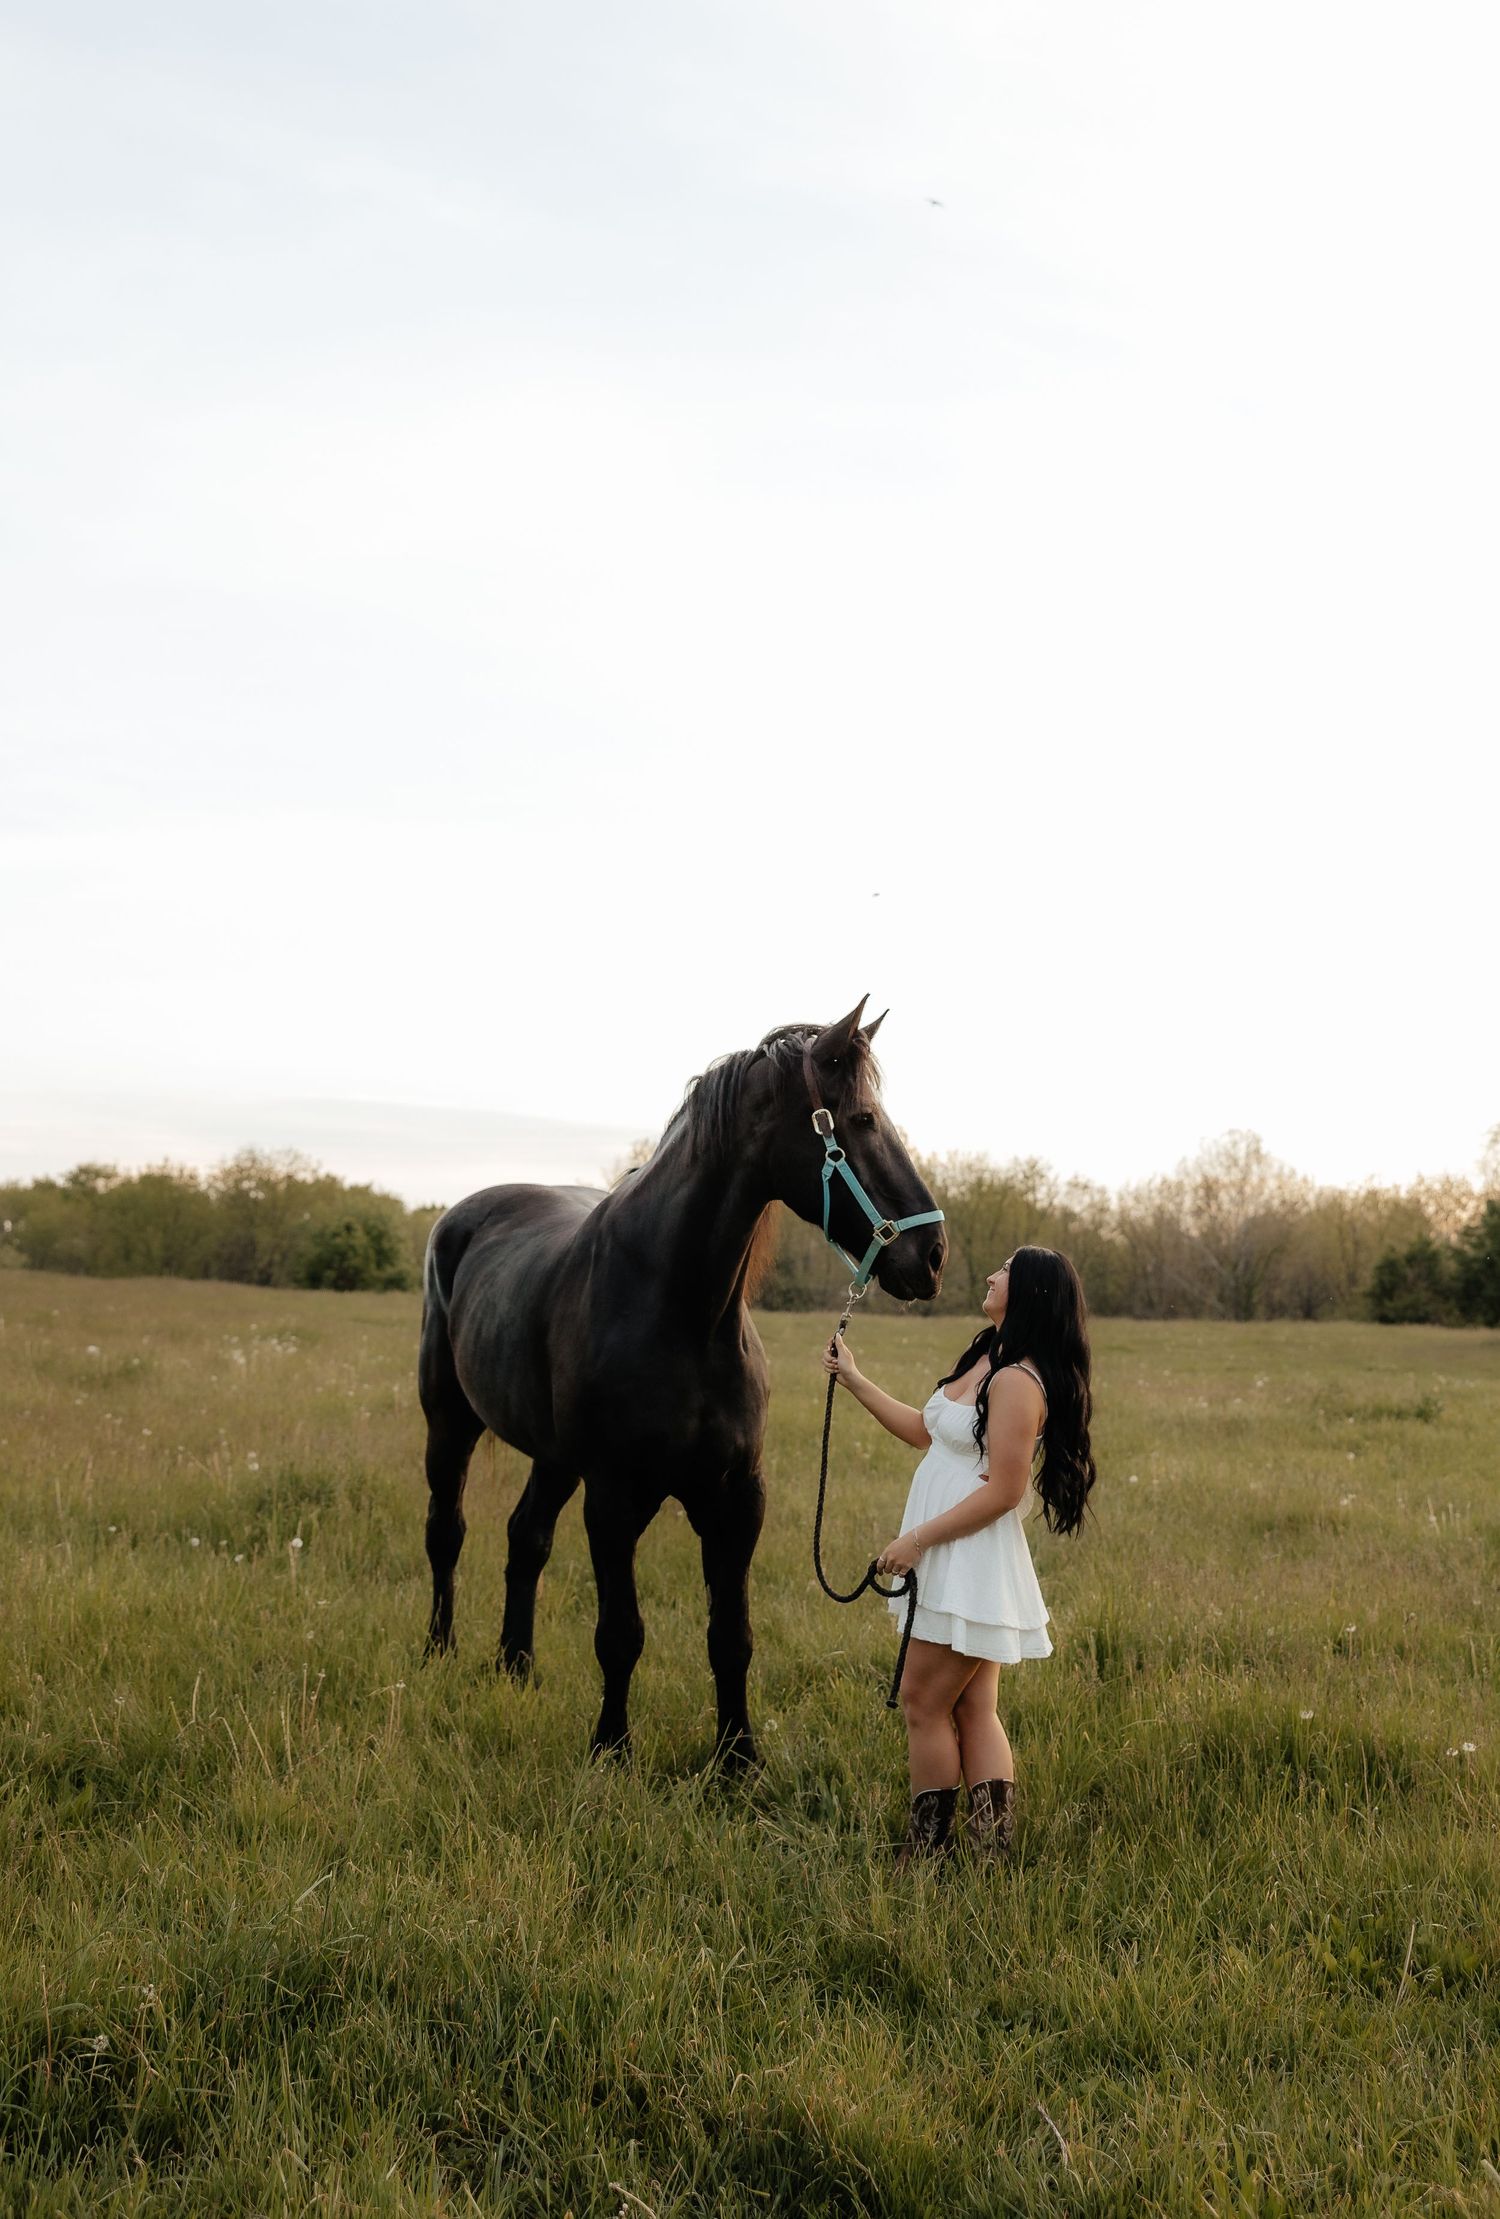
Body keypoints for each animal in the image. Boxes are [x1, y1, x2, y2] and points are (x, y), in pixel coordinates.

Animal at [417, 997, 947, 1768]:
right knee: (446, 1532)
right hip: (449, 1422)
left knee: (526, 1538)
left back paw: (516, 1667)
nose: (933, 1254)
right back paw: (439, 1653)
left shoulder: (736, 1496)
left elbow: (731, 1636)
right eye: (861, 1120)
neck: (682, 1312)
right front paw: (611, 1750)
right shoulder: (613, 1497)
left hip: (553, 1456)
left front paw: (738, 1759)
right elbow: (620, 1634)